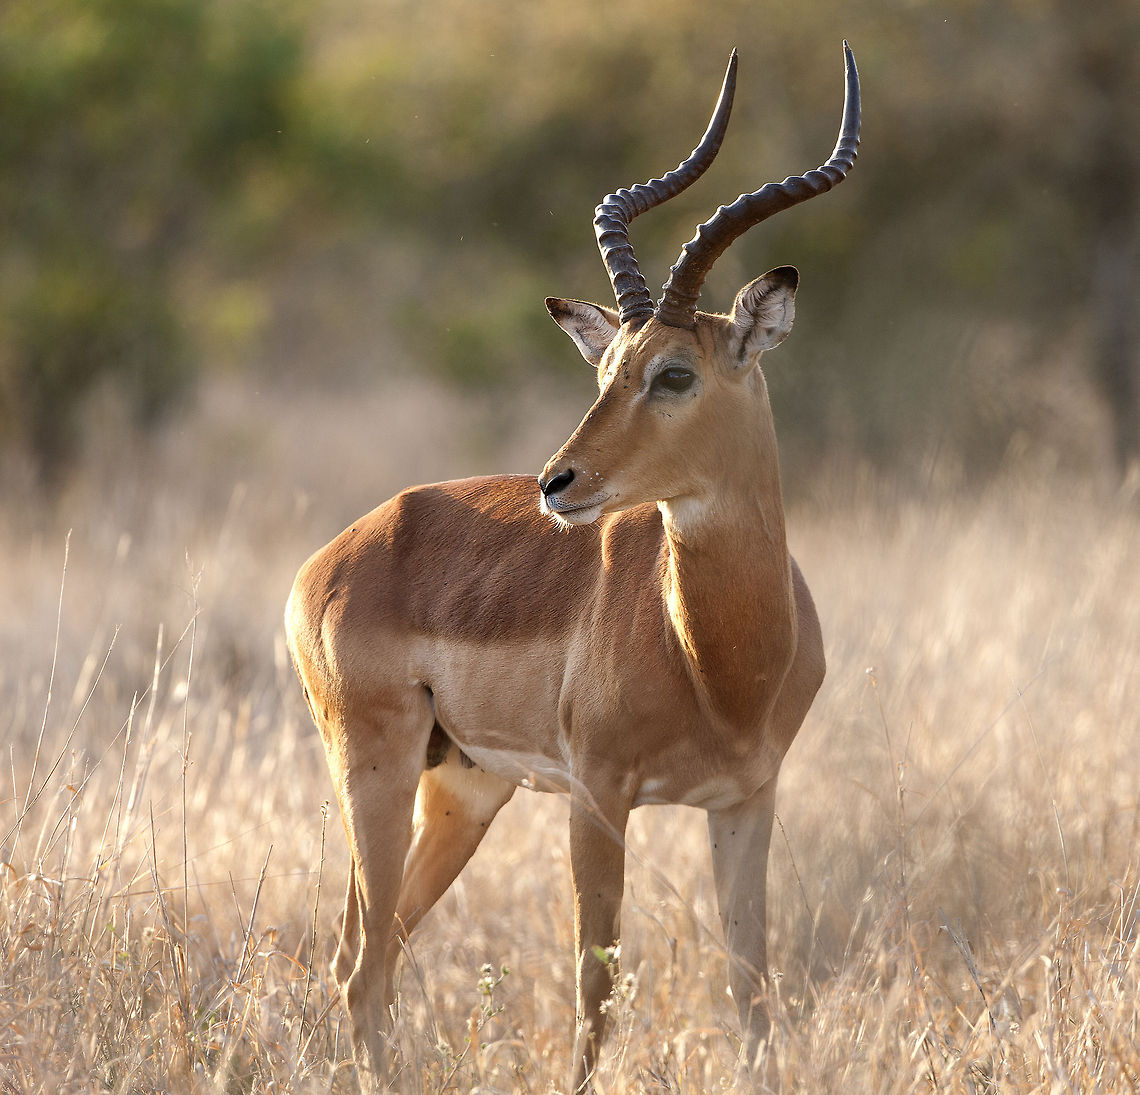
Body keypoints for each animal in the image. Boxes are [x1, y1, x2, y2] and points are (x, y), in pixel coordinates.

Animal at [286, 43, 859, 1092]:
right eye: (604, 371)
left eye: (674, 373)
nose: (559, 482)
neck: (716, 665)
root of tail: (338, 553)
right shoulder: (598, 798)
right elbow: (596, 991)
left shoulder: (749, 799)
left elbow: (752, 987)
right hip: (372, 767)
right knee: (362, 968)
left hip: (463, 788)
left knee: (365, 950)